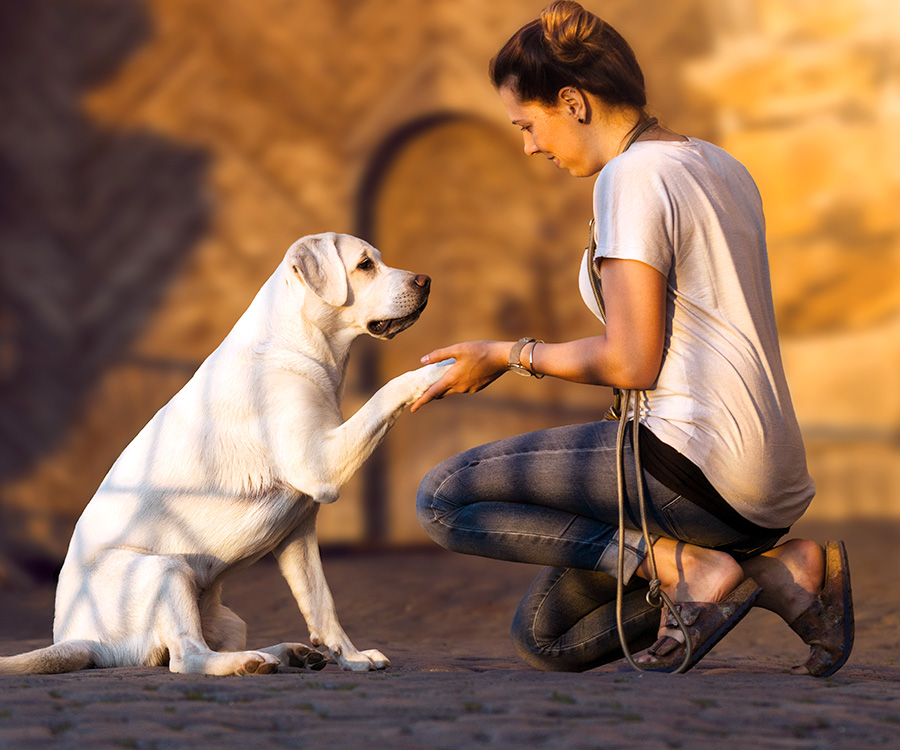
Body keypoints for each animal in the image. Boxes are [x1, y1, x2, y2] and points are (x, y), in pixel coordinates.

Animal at [0, 232, 450, 680]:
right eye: (364, 266)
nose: (427, 280)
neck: (299, 343)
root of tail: (83, 642)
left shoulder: (298, 529)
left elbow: (322, 603)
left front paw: (352, 658)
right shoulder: (320, 465)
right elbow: (387, 391)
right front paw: (440, 369)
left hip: (230, 617)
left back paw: (288, 653)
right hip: (166, 570)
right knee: (186, 657)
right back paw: (250, 662)